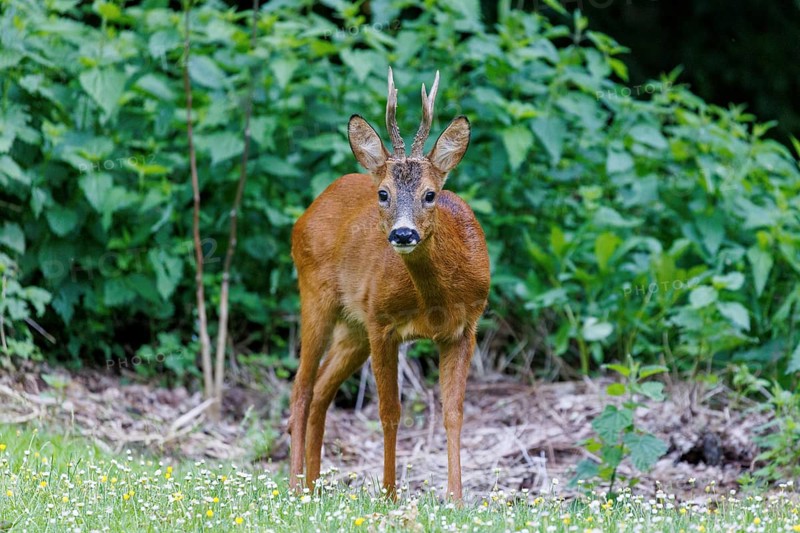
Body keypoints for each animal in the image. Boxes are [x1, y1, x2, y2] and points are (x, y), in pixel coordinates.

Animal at [288, 67, 490, 501]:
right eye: (383, 193)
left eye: (430, 194)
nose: (403, 233)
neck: (434, 301)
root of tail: (309, 210)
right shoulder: (382, 323)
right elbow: (389, 413)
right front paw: (389, 495)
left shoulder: (465, 328)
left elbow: (454, 413)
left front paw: (457, 499)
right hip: (316, 295)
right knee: (302, 388)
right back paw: (296, 487)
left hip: (353, 327)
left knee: (321, 391)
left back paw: (313, 487)